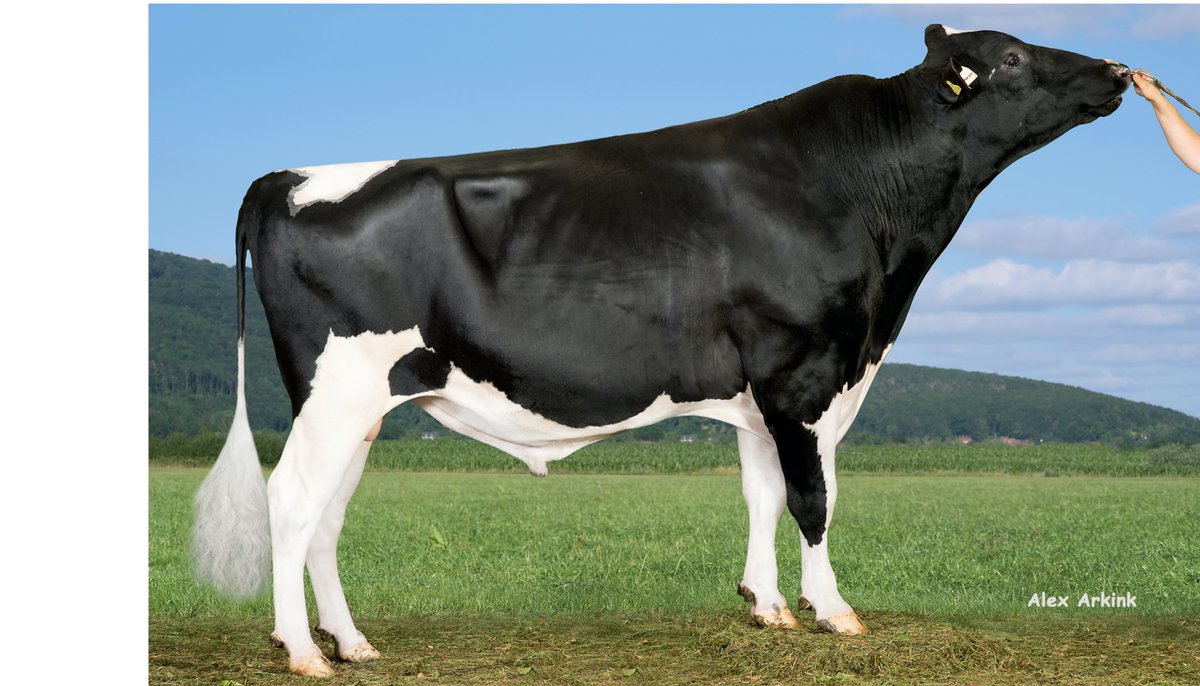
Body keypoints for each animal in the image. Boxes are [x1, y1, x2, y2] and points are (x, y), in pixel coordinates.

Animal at [191, 25, 1130, 676]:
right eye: (1010, 58)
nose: (1118, 72)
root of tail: (288, 175)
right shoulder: (805, 374)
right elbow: (813, 499)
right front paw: (831, 611)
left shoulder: (760, 389)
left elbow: (760, 494)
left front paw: (765, 607)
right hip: (337, 390)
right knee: (292, 501)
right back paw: (301, 652)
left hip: (363, 405)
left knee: (326, 514)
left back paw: (350, 643)